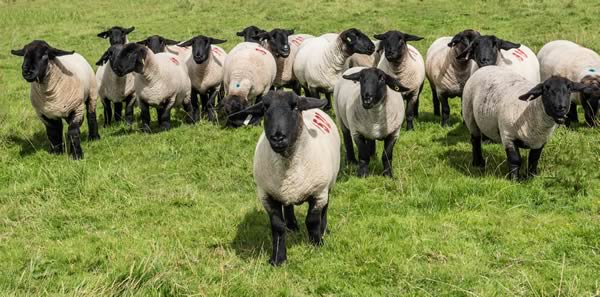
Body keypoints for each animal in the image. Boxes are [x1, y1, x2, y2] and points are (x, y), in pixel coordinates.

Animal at [226, 91, 340, 266]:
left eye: (295, 106)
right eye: (265, 108)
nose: (278, 138)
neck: (288, 166)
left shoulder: (319, 192)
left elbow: (312, 221)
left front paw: (317, 244)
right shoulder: (267, 195)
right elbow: (277, 226)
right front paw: (278, 259)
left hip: (328, 185)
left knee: (325, 208)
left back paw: (323, 229)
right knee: (288, 206)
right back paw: (291, 226)